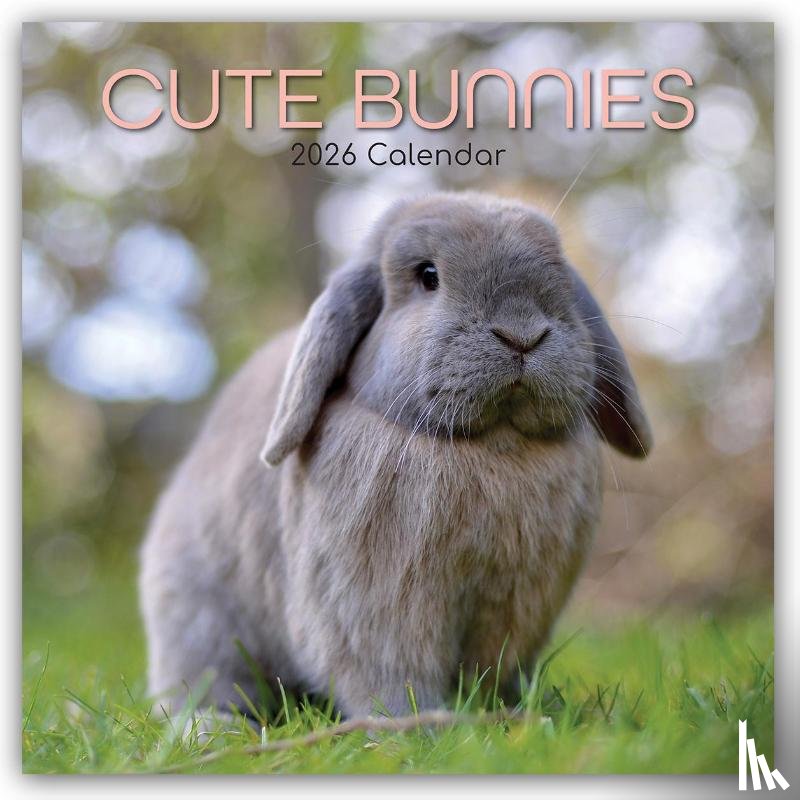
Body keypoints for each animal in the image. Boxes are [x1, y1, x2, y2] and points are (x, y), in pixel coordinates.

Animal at [139, 191, 651, 721]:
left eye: (561, 272)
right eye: (427, 275)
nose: (522, 334)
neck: (493, 446)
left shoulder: (516, 607)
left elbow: (496, 667)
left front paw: (508, 711)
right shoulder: (376, 605)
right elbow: (390, 672)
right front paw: (424, 723)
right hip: (200, 619)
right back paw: (210, 725)